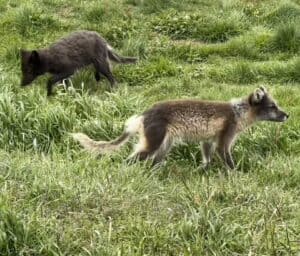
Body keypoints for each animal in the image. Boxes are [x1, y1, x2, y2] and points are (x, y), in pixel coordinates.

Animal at [71, 87, 288, 169]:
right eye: (273, 107)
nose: (288, 115)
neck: (238, 112)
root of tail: (144, 114)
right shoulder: (224, 140)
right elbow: (228, 161)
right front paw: (237, 176)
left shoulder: (208, 141)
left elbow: (206, 158)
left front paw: (203, 170)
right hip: (153, 144)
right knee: (131, 158)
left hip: (165, 145)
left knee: (153, 162)